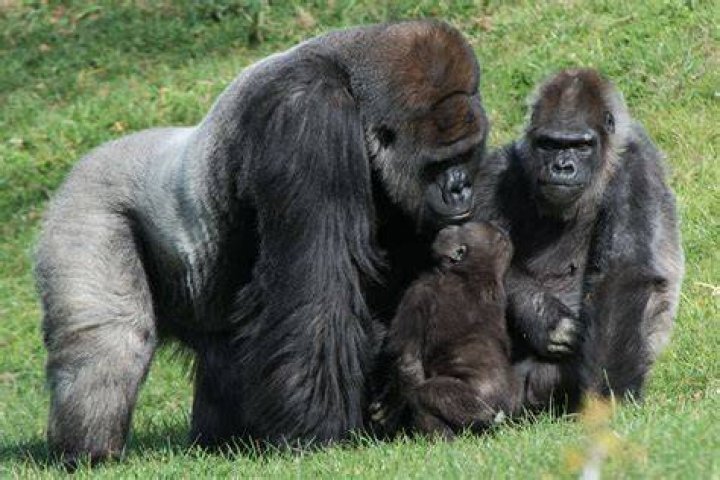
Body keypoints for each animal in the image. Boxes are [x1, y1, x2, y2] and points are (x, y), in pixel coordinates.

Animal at [34, 20, 490, 465]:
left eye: (466, 155)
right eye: (438, 164)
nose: (460, 189)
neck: (353, 87)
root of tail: (78, 167)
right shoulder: (308, 119)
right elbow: (318, 295)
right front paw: (314, 433)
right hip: (84, 206)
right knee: (110, 343)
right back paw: (89, 453)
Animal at [371, 222, 515, 437]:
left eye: (461, 228)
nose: (449, 227)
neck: (474, 273)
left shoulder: (418, 291)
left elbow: (407, 360)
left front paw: (393, 409)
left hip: (476, 403)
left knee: (425, 394)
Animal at [473, 68, 683, 413]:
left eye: (582, 145)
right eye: (549, 144)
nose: (562, 167)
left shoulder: (636, 162)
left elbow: (623, 274)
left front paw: (607, 397)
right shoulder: (495, 170)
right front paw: (542, 316)